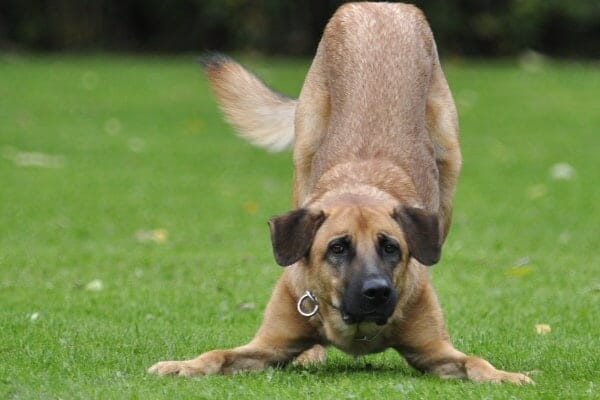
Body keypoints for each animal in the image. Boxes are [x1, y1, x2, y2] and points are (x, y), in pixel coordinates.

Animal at [148, 3, 532, 384]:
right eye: (337, 247)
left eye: (391, 247)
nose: (377, 291)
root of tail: (381, 7)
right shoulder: (267, 344)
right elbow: (217, 354)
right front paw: (182, 365)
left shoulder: (436, 350)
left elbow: (476, 362)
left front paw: (506, 375)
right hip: (304, 153)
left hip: (448, 165)